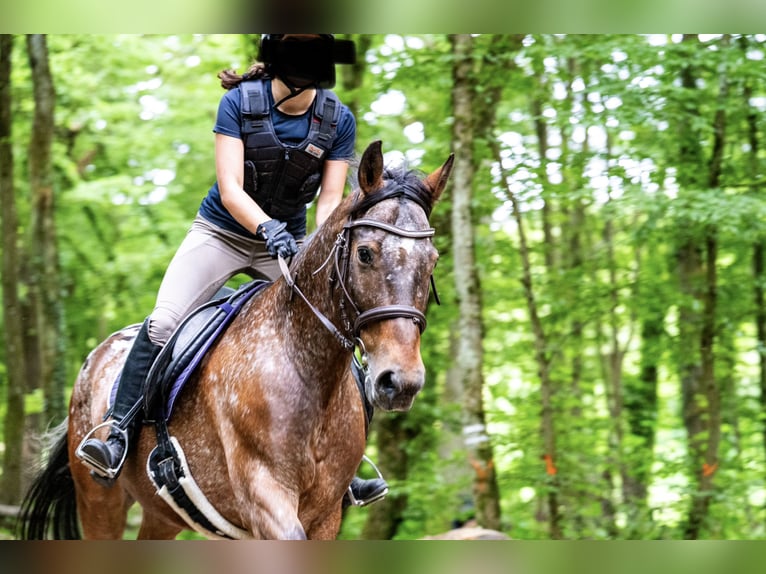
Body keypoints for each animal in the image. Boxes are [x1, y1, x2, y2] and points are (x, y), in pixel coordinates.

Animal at [16, 140, 454, 540]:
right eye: (365, 253)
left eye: (432, 260)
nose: (401, 382)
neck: (307, 368)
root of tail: (97, 357)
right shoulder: (263, 495)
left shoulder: (326, 514)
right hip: (99, 500)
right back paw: (108, 445)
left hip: (163, 514)